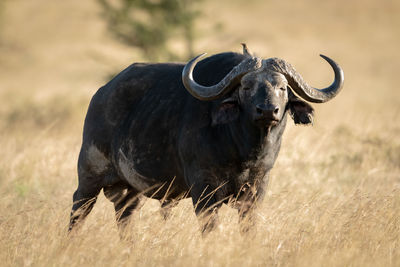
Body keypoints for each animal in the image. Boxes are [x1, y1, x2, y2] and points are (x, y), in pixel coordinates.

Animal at [69, 45, 344, 233]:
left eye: (282, 88)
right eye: (246, 87)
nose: (267, 111)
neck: (243, 150)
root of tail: (101, 94)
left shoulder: (257, 189)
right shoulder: (204, 191)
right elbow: (209, 227)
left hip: (131, 191)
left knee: (125, 217)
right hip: (89, 176)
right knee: (79, 210)